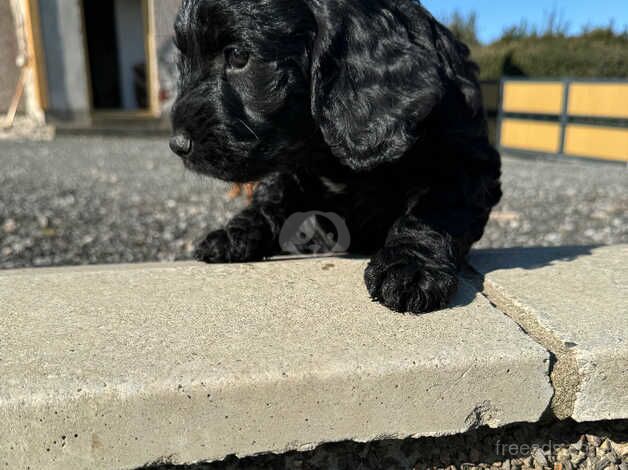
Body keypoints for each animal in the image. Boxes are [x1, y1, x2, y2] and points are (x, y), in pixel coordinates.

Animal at [169, 0, 502, 316]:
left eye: (238, 56)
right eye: (182, 60)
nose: (177, 145)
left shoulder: (466, 161)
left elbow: (436, 208)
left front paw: (410, 265)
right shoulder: (294, 170)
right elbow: (272, 200)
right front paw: (233, 233)